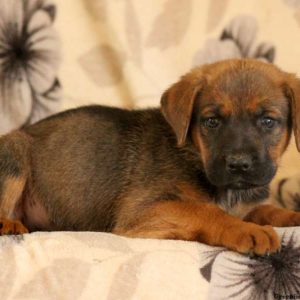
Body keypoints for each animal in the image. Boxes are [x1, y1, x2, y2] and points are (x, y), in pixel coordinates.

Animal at [0, 59, 300, 255]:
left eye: (268, 121)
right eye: (211, 122)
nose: (238, 164)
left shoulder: (246, 205)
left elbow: (265, 209)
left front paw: (290, 215)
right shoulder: (144, 211)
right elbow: (204, 210)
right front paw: (246, 230)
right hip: (14, 149)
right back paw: (10, 224)